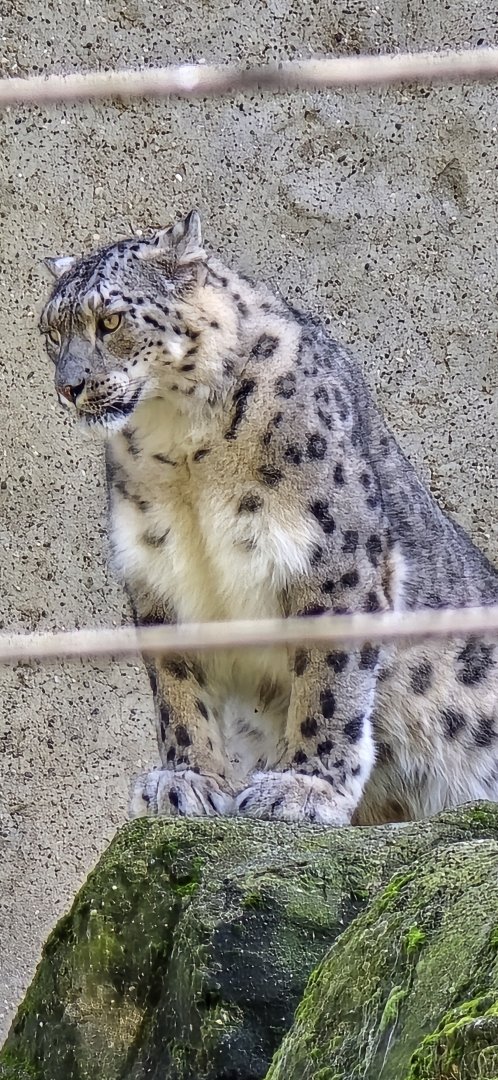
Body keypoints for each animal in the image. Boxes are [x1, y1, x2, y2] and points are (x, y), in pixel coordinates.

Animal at [39, 209, 498, 826]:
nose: (69, 387)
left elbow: (328, 679)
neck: (183, 448)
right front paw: (184, 780)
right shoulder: (158, 570)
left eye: (109, 320)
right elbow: (176, 686)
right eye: (51, 332)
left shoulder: (332, 563)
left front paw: (304, 786)